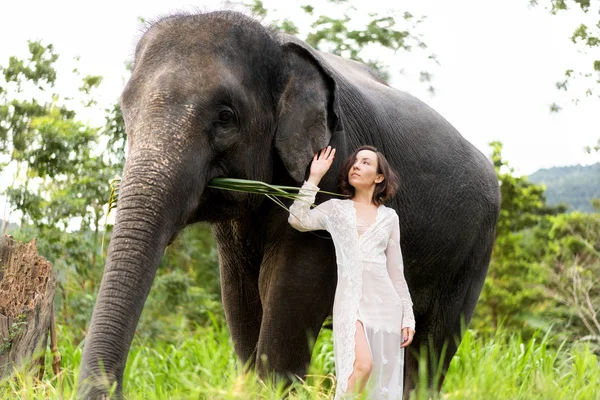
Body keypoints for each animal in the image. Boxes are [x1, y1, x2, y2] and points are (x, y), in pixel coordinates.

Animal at [78, 10, 502, 400]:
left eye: (225, 117)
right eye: (126, 111)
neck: (279, 47)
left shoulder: (334, 170)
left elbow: (288, 291)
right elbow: (240, 297)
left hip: (474, 254)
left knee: (432, 349)